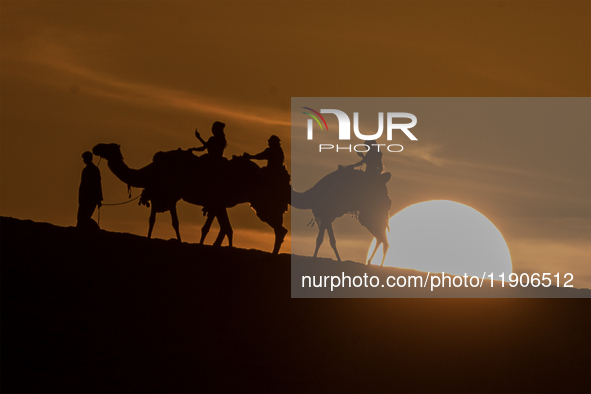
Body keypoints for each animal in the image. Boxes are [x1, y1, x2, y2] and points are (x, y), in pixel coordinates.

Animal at [92, 143, 292, 254]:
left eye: (108, 146)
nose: (95, 148)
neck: (150, 172)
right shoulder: (171, 197)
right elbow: (171, 222)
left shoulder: (167, 194)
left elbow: (164, 221)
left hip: (261, 204)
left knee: (279, 229)